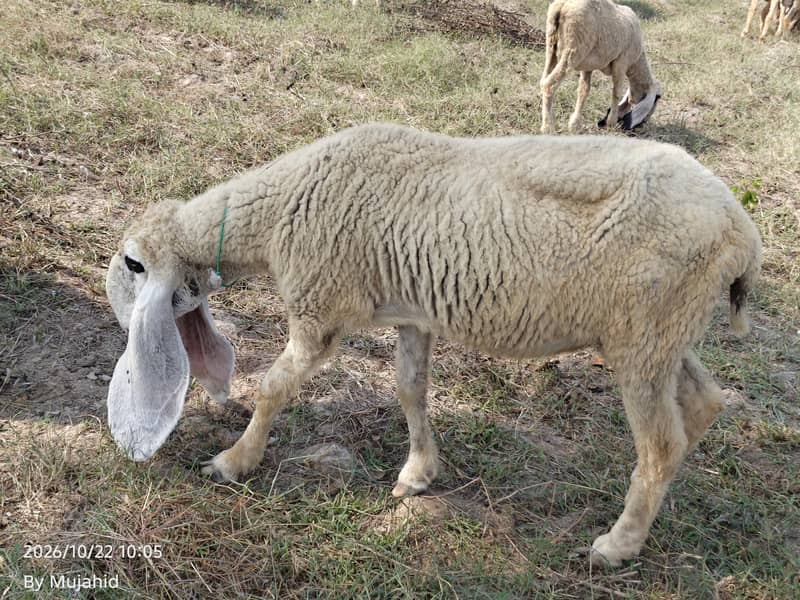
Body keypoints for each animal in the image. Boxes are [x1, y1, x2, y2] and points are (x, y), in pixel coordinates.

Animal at [105, 123, 761, 567]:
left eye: (132, 266)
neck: (277, 211)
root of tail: (742, 233)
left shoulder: (322, 309)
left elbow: (272, 387)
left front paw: (235, 461)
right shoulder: (412, 314)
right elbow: (410, 389)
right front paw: (419, 473)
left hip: (644, 333)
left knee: (660, 443)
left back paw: (619, 542)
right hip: (661, 331)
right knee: (703, 403)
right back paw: (659, 502)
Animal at [540, 0, 662, 134]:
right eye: (652, 107)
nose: (638, 128)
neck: (636, 62)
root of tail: (562, 5)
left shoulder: (588, 67)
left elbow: (583, 91)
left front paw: (575, 125)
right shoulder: (621, 63)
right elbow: (617, 92)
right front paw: (611, 122)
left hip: (551, 45)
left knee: (543, 80)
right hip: (574, 50)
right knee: (549, 85)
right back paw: (548, 127)